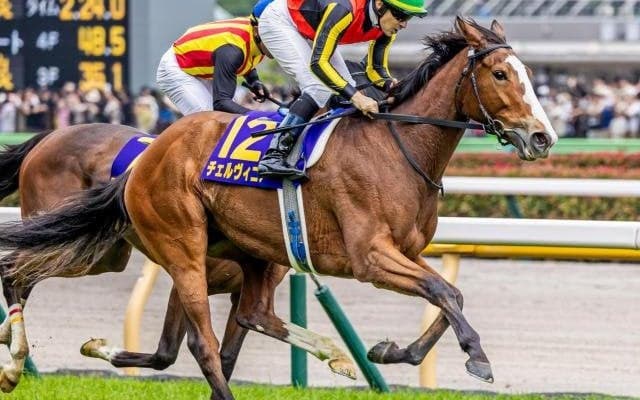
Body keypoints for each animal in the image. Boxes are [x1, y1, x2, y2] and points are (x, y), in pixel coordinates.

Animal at [0, 18, 557, 399]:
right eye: (501, 73)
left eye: (530, 73)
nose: (542, 137)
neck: (396, 147)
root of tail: (141, 163)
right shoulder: (370, 257)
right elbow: (443, 292)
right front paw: (477, 358)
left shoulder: (405, 252)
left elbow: (449, 294)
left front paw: (390, 352)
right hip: (170, 245)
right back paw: (14, 360)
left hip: (151, 253)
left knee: (234, 326)